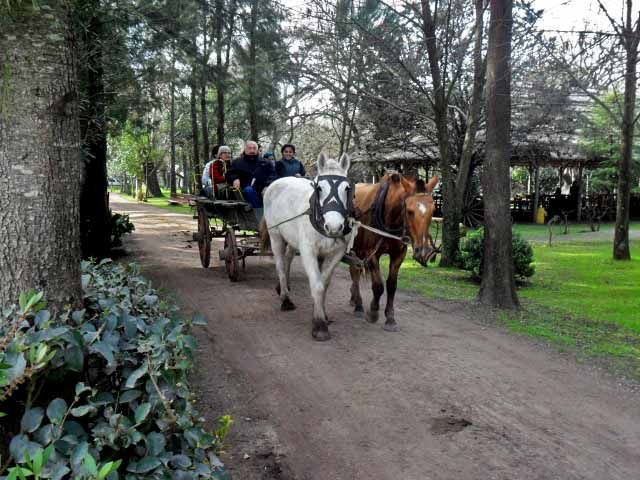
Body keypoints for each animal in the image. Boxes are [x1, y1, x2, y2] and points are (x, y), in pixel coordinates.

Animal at [262, 152, 360, 340]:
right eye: (319, 188)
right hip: (275, 235)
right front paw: (320, 325)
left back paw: (284, 287)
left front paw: (321, 312)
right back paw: (285, 298)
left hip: (292, 239)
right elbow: (317, 285)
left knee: (288, 258)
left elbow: (324, 283)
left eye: (347, 189)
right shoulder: (308, 251)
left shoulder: (336, 253)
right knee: (280, 265)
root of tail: (276, 182)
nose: (334, 226)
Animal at [348, 174, 438, 332]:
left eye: (433, 211)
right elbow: (378, 285)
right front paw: (373, 312)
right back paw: (358, 304)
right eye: (409, 211)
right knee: (354, 273)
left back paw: (354, 299)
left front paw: (390, 318)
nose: (423, 251)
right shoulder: (372, 253)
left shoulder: (399, 254)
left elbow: (392, 285)